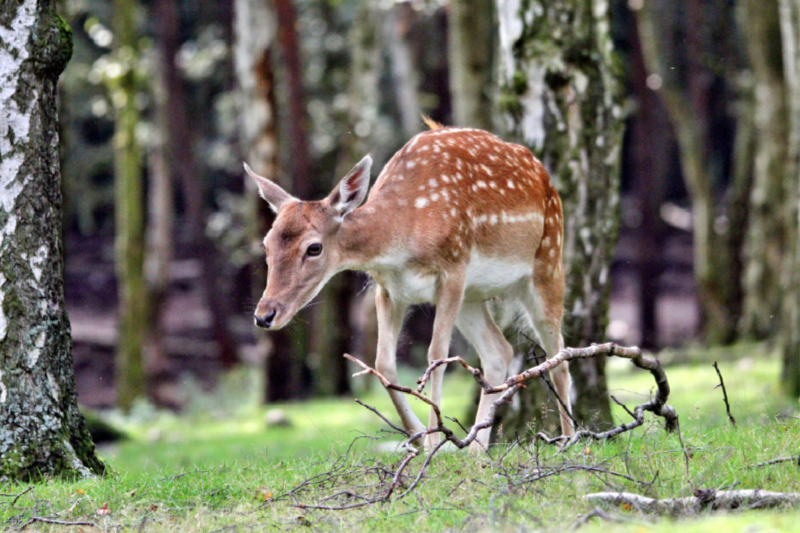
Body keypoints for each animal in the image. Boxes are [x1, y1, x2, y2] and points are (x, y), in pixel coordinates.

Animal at [247, 120, 572, 448]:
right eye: (266, 244)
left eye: (314, 248)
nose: (264, 315)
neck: (404, 236)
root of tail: (546, 177)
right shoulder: (388, 289)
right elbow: (383, 363)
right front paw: (417, 436)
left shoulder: (454, 267)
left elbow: (436, 355)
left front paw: (434, 441)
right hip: (471, 297)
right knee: (499, 351)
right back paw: (476, 449)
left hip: (548, 261)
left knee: (559, 356)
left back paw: (569, 439)